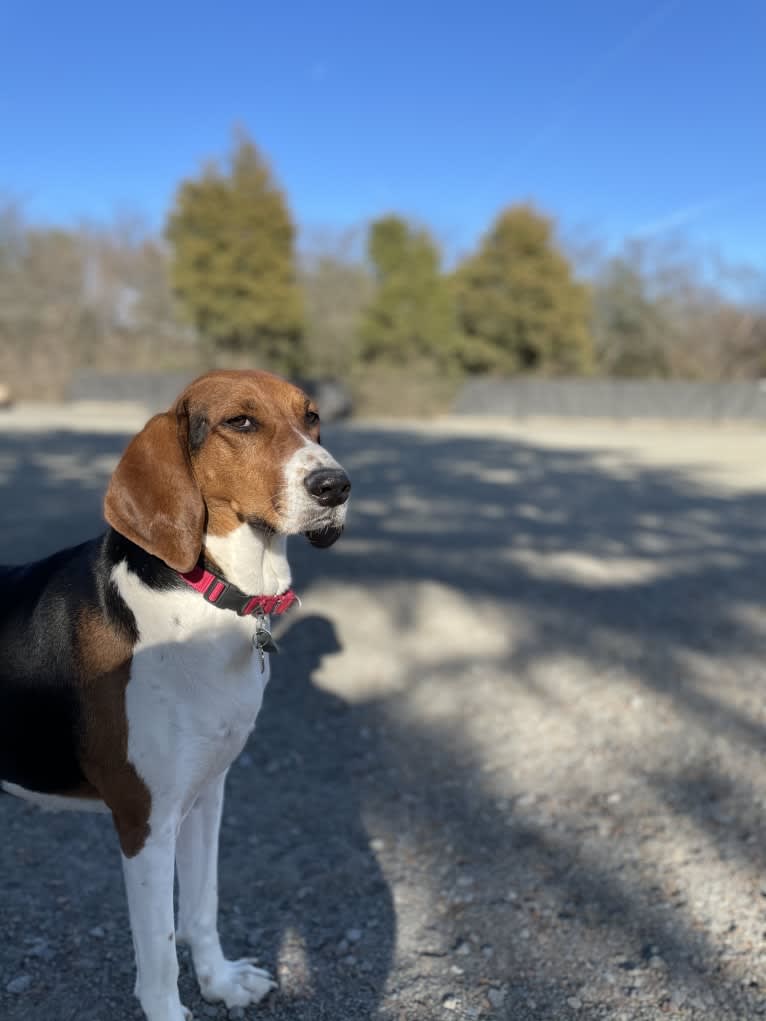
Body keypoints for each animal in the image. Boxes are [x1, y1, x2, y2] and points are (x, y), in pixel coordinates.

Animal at [0, 371, 353, 1021]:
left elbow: (202, 906)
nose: (336, 485)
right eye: (240, 422)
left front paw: (219, 983)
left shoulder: (207, 793)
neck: (205, 594)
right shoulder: (146, 821)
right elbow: (161, 951)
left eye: (312, 417)